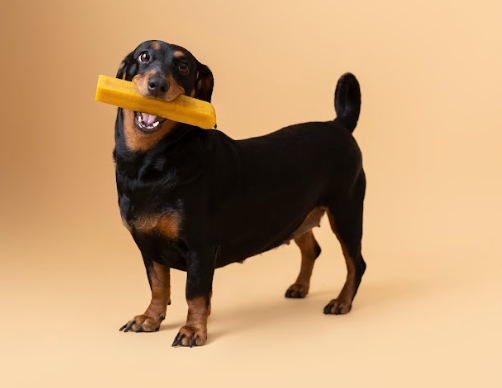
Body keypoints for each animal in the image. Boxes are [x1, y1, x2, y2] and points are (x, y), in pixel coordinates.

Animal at [113, 40, 364, 348]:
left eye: (183, 66)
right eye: (144, 56)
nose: (158, 84)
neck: (152, 165)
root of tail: (339, 124)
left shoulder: (200, 247)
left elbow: (195, 293)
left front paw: (193, 331)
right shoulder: (147, 244)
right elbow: (158, 286)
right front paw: (150, 318)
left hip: (346, 210)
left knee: (356, 263)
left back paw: (342, 301)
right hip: (298, 213)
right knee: (312, 249)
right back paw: (300, 287)